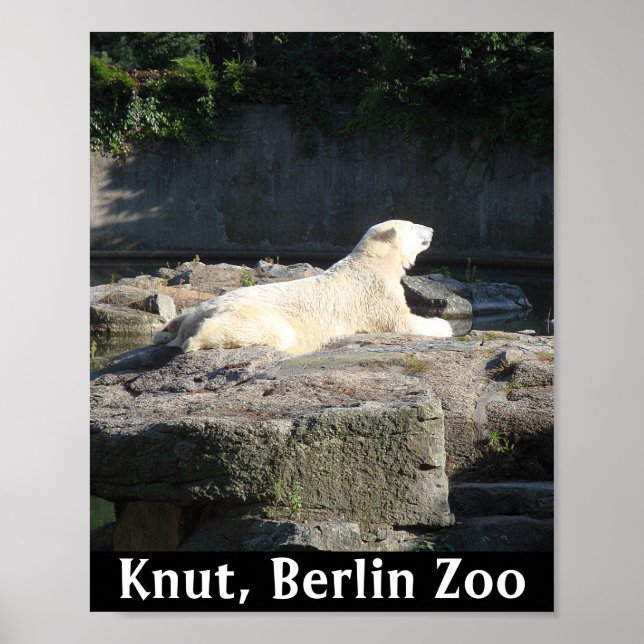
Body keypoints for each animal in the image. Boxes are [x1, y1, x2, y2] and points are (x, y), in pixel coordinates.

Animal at [153, 220, 453, 355]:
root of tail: (197, 318)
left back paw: (164, 333)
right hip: (253, 316)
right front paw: (444, 325)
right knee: (270, 332)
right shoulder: (374, 295)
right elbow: (404, 322)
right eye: (412, 227)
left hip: (202, 307)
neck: (372, 263)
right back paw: (192, 340)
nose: (432, 229)